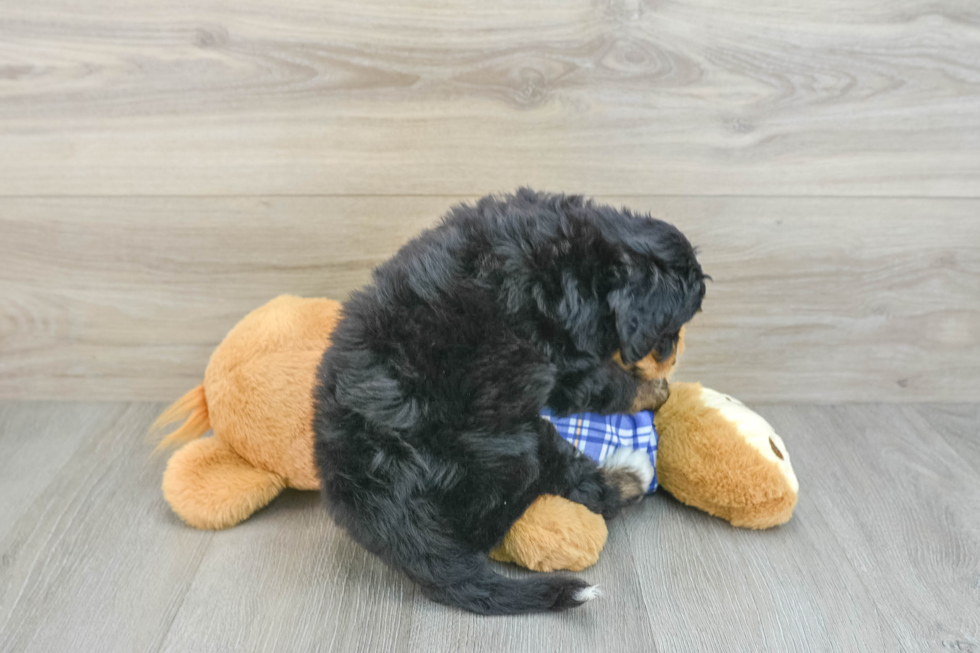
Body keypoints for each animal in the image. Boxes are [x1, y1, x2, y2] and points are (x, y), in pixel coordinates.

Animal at [314, 187, 704, 612]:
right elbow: (609, 383)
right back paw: (633, 472)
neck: (591, 257)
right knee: (553, 488)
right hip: (502, 434)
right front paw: (656, 390)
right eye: (669, 331)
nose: (674, 356)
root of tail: (369, 502)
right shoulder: (568, 361)